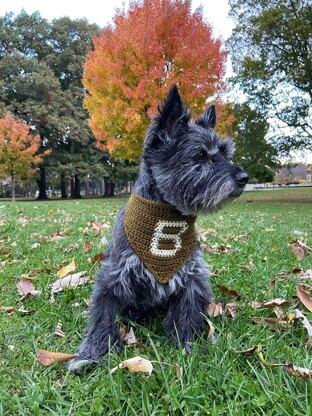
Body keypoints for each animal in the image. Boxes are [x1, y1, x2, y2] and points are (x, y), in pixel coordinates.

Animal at [69, 85, 249, 374]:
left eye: (225, 152)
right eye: (200, 155)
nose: (244, 178)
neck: (165, 221)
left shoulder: (192, 278)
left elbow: (187, 315)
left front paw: (189, 347)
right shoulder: (112, 276)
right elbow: (102, 317)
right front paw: (91, 353)